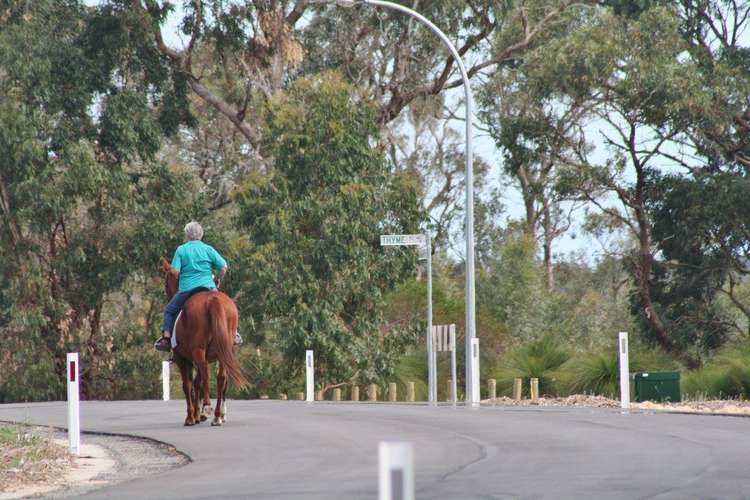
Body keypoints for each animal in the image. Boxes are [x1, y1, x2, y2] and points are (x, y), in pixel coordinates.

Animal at [162, 258, 250, 426]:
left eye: (166, 282)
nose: (169, 296)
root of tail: (213, 300)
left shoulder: (182, 359)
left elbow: (188, 385)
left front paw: (191, 416)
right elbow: (197, 383)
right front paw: (198, 414)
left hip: (198, 350)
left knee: (205, 374)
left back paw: (208, 408)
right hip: (224, 351)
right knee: (221, 378)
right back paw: (217, 416)